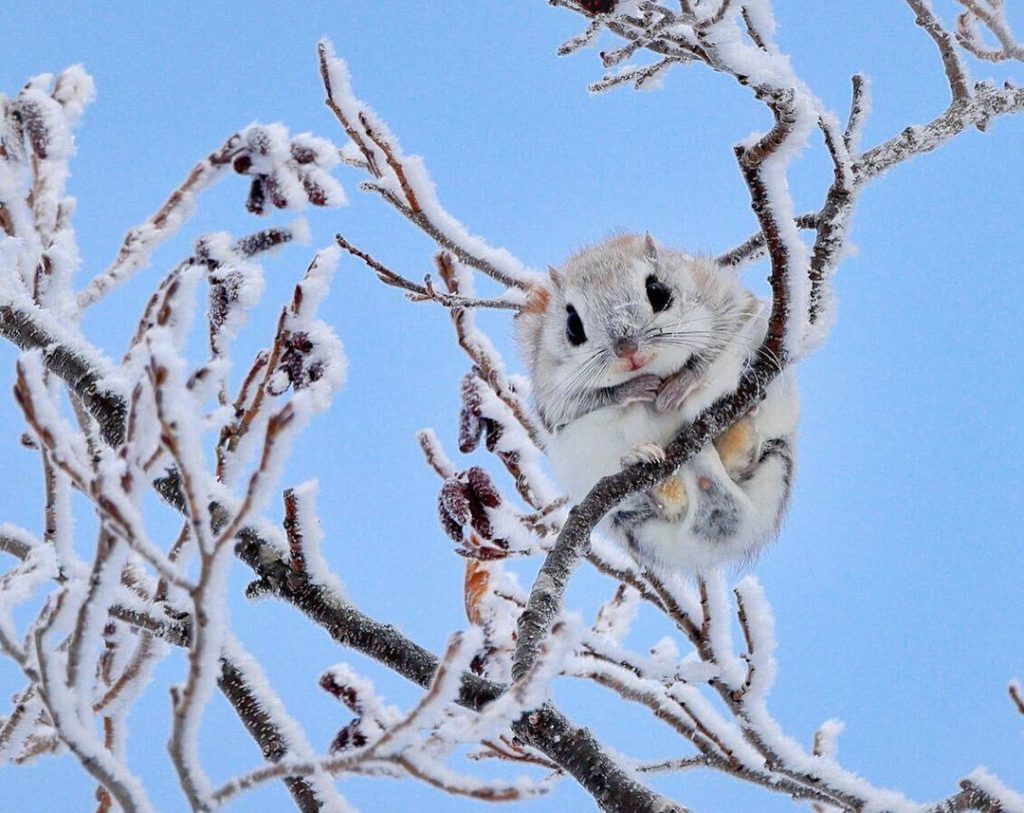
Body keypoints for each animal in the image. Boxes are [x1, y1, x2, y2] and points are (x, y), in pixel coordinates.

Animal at [516, 233, 798, 572]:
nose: (627, 349)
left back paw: (745, 418)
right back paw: (642, 460)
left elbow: (713, 349)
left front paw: (679, 385)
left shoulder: (731, 305)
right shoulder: (551, 392)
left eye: (658, 292)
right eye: (572, 325)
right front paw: (635, 389)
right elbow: (573, 406)